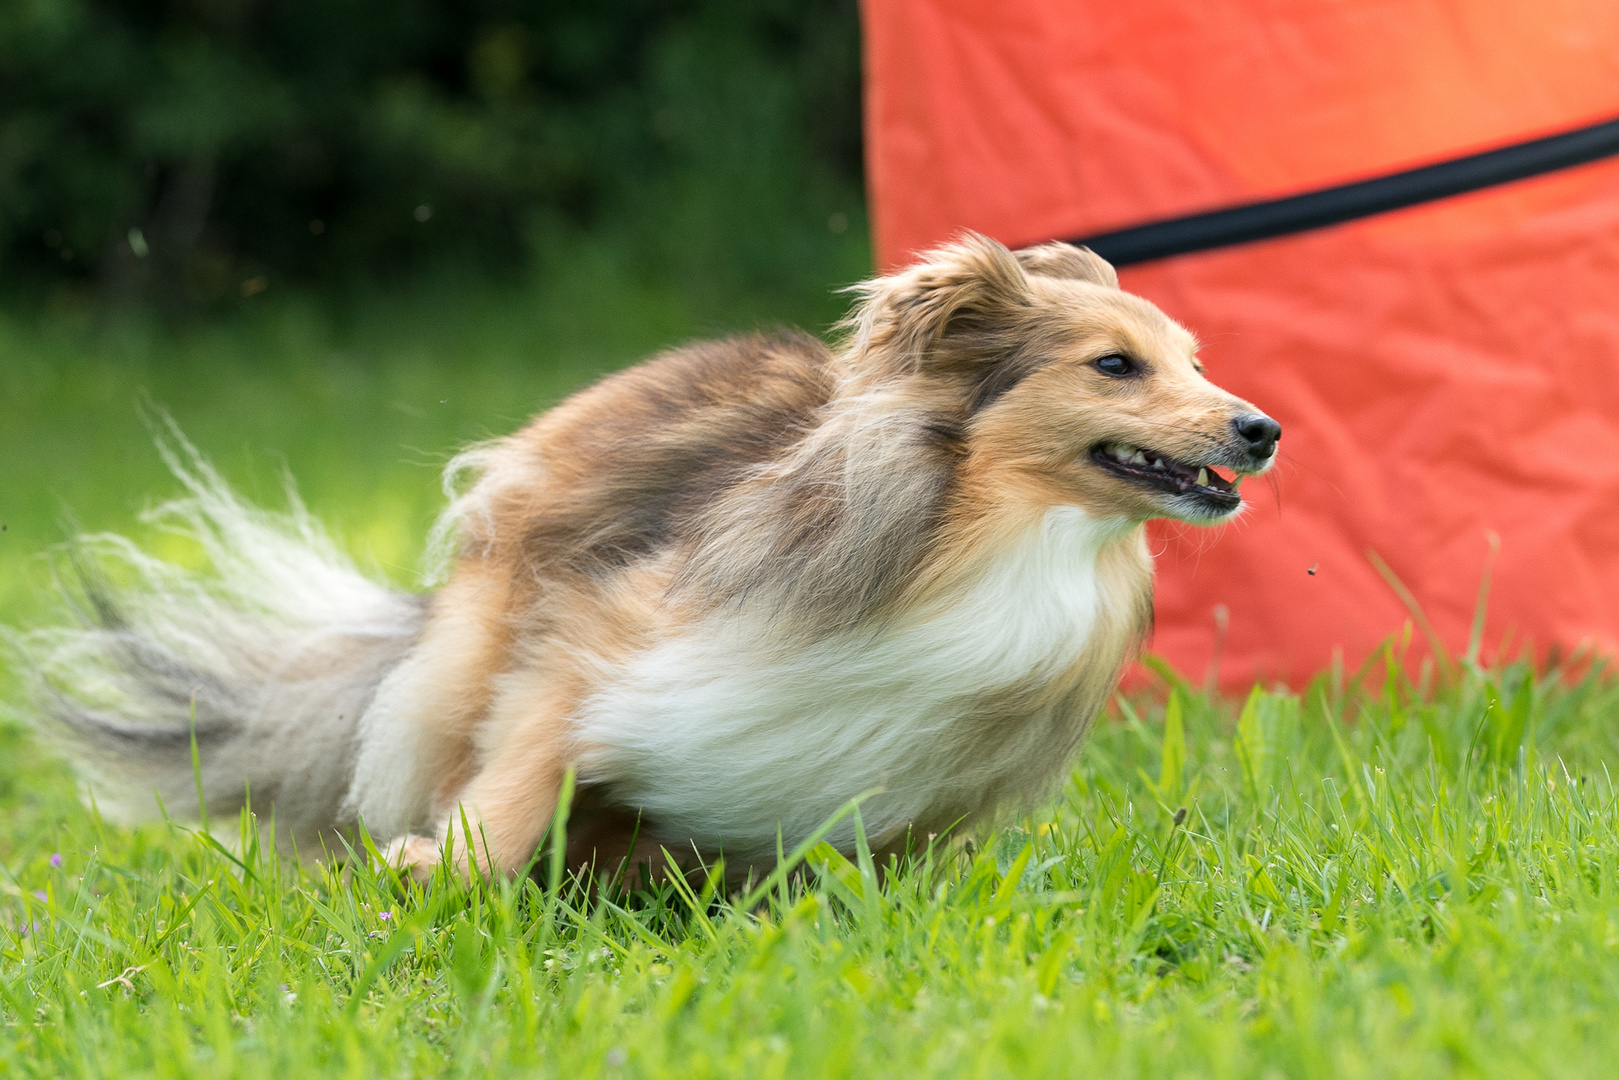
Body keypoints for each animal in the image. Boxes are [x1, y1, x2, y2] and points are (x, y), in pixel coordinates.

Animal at [9, 233, 1275, 880]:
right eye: (1113, 365)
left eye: (1195, 360)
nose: (1261, 428)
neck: (1003, 543)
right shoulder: (598, 645)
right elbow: (517, 785)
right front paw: (438, 871)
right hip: (479, 636)